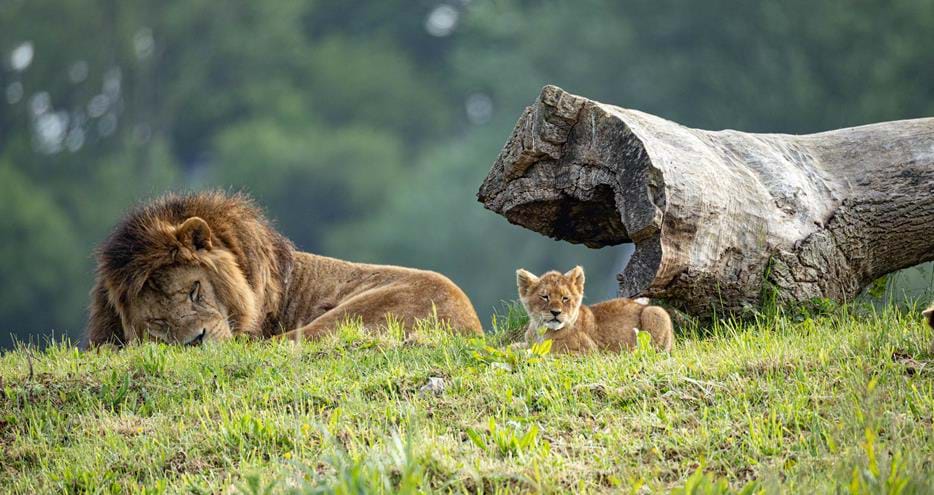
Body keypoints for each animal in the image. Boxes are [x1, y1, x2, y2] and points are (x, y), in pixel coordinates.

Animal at [516, 266, 673, 354]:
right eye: (545, 297)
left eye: (565, 298)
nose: (556, 312)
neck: (541, 331)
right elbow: (516, 347)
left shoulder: (587, 353)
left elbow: (547, 355)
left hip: (655, 312)